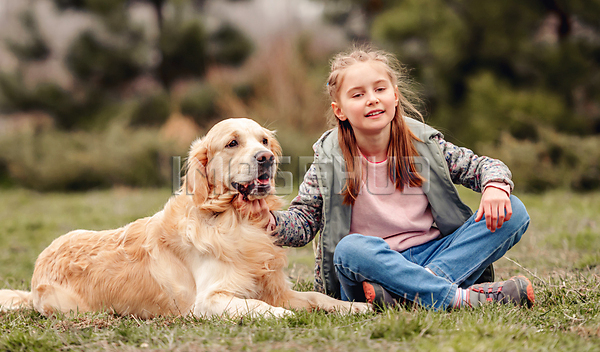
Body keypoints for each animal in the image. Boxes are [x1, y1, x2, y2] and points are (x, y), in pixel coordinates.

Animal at [0, 119, 368, 320]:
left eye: (264, 140)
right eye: (232, 143)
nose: (266, 158)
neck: (235, 219)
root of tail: (38, 266)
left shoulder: (274, 286)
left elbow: (317, 298)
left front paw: (352, 307)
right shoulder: (209, 300)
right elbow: (257, 306)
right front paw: (282, 315)